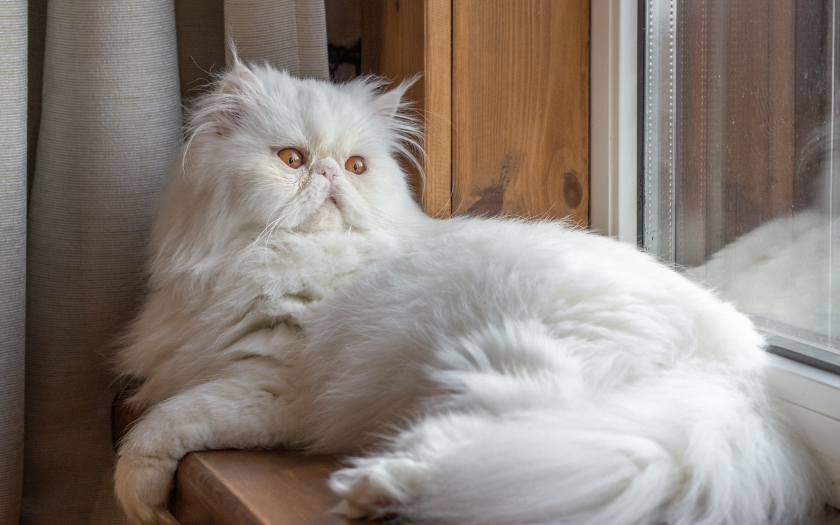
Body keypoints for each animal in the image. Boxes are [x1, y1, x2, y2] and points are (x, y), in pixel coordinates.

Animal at [115, 62, 832, 524]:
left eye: (355, 167)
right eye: (292, 159)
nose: (328, 177)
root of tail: (744, 370)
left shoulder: (270, 385)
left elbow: (162, 425)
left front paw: (138, 497)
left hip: (525, 372)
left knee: (508, 453)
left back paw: (375, 487)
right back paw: (377, 489)